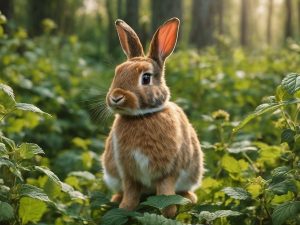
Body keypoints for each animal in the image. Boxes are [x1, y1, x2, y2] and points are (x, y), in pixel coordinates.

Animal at [101, 17, 204, 218]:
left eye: (146, 78)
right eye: (117, 73)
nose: (116, 97)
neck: (142, 117)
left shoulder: (168, 172)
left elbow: (166, 194)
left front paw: (168, 213)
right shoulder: (128, 173)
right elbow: (131, 193)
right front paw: (124, 209)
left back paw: (189, 199)